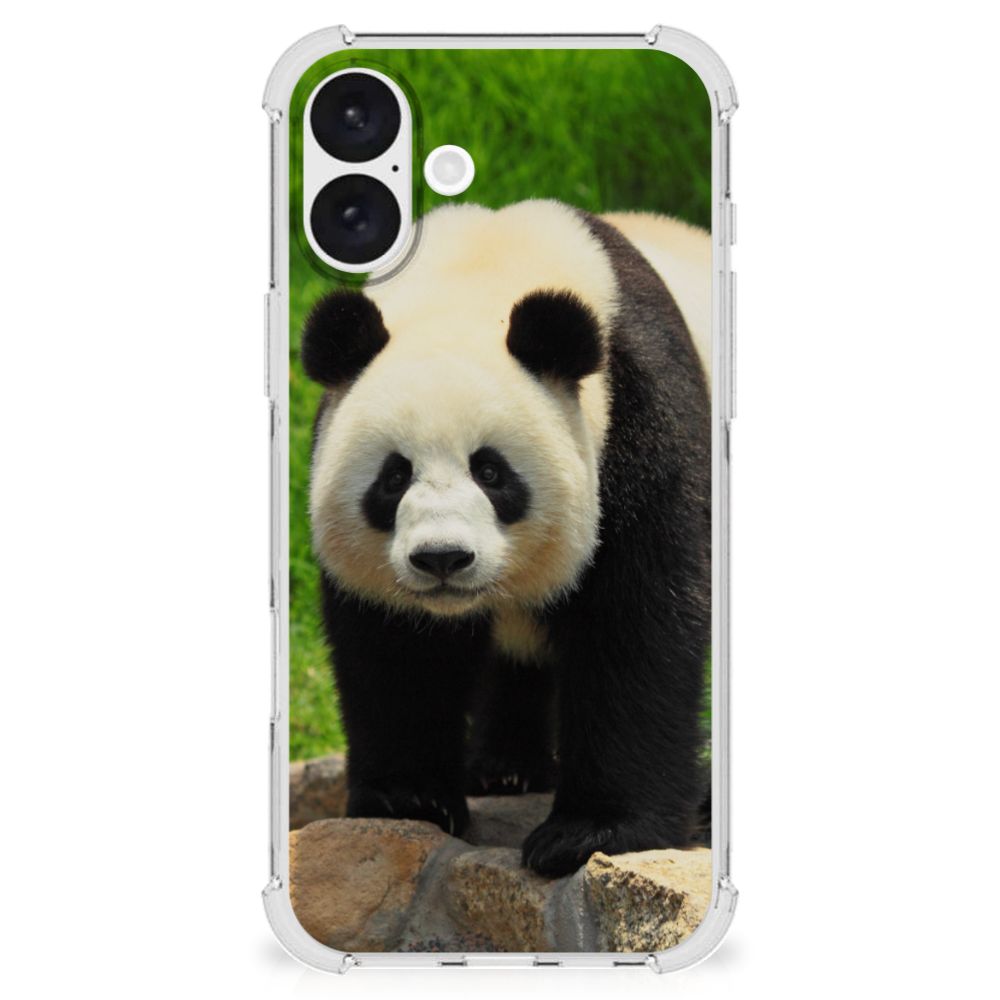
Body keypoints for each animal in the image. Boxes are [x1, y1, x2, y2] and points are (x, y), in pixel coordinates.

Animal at [301, 200, 711, 877]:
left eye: (491, 472)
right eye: (393, 477)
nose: (442, 558)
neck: (481, 273)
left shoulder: (640, 420)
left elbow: (638, 623)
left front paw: (590, 833)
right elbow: (396, 647)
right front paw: (409, 799)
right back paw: (504, 768)